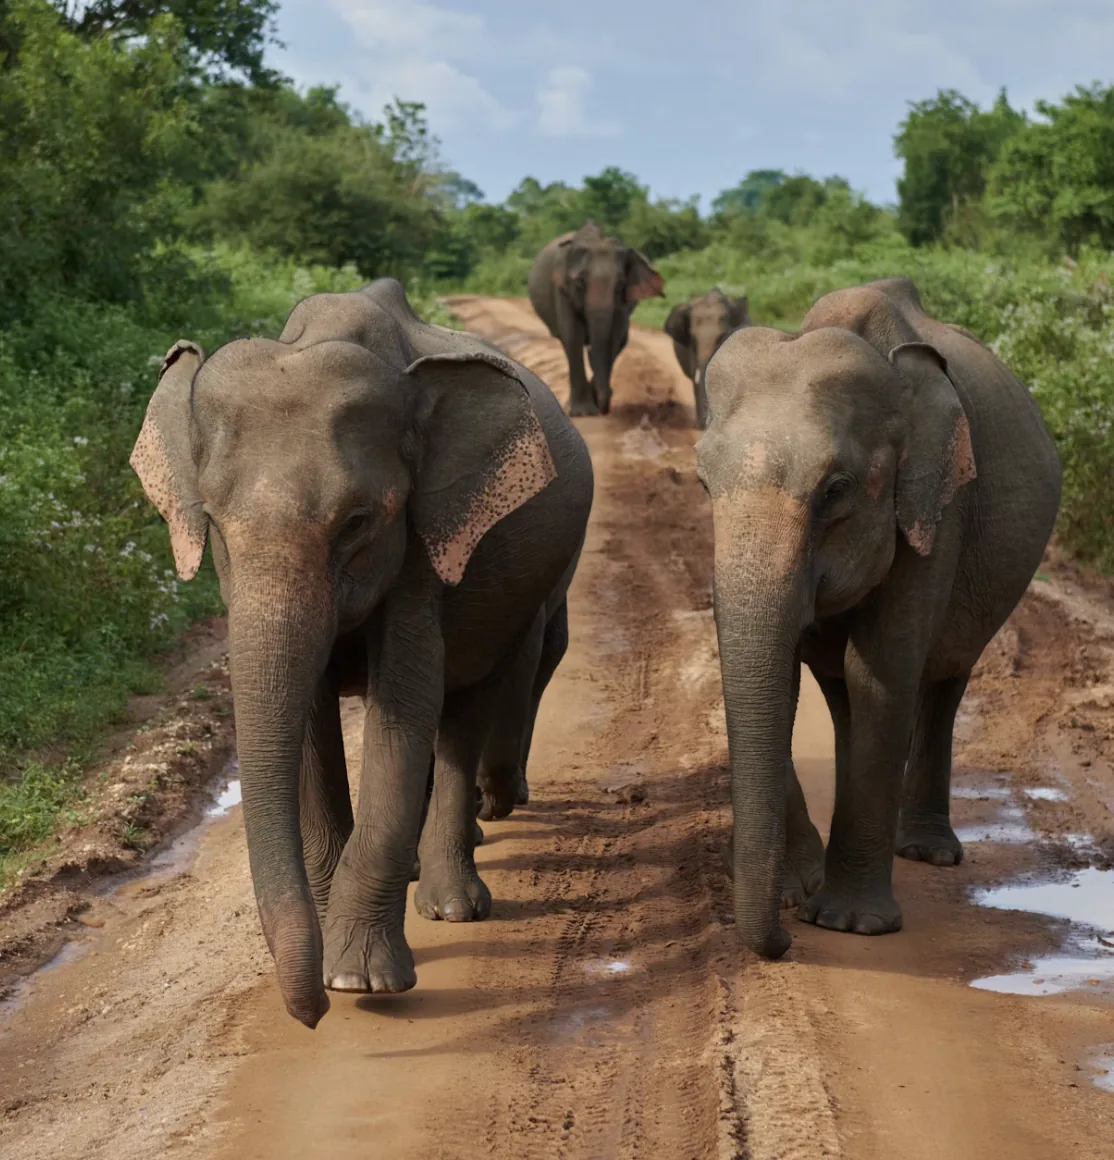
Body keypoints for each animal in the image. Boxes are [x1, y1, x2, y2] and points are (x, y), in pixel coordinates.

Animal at [129, 279, 594, 1027]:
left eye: (357, 523)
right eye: (214, 524)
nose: (311, 1013)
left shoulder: (425, 548)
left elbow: (404, 704)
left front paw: (358, 982)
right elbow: (311, 718)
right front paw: (331, 954)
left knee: (466, 704)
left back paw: (452, 906)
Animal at [528, 221, 664, 416]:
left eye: (620, 285)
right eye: (581, 282)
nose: (604, 408)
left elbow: (616, 337)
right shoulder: (563, 290)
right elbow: (573, 336)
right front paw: (583, 413)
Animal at [696, 277, 1061, 959]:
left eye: (836, 490)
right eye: (703, 484)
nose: (783, 941)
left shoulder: (937, 506)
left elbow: (882, 673)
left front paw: (848, 923)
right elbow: (785, 672)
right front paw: (800, 891)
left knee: (942, 680)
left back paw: (926, 853)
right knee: (843, 691)